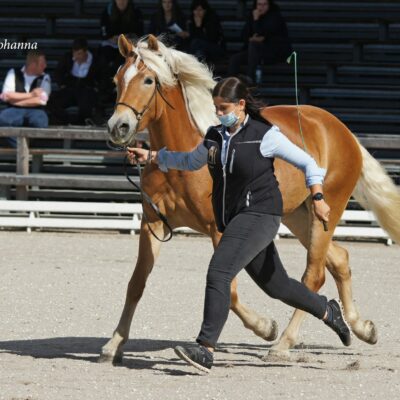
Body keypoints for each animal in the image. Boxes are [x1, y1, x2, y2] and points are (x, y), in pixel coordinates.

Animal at [101, 34, 400, 364]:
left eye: (148, 80)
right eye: (117, 79)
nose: (118, 127)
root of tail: (340, 129)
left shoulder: (218, 230)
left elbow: (229, 292)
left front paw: (265, 326)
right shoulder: (153, 224)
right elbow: (136, 284)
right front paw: (114, 344)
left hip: (326, 212)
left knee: (313, 275)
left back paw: (282, 343)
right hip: (298, 216)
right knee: (339, 260)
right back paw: (361, 328)